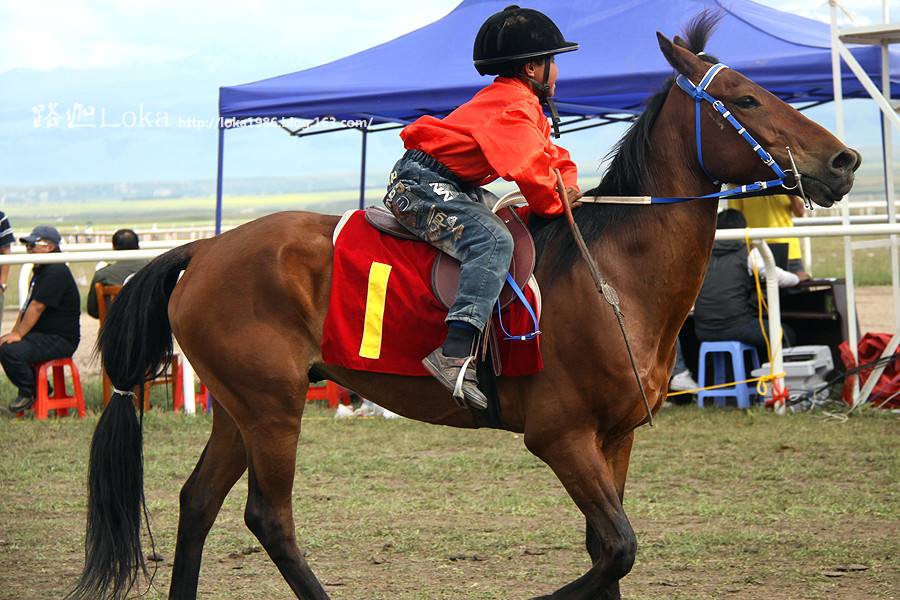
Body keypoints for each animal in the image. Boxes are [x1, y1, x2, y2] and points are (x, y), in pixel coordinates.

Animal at [68, 17, 856, 600]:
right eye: (748, 99)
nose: (845, 161)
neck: (615, 276)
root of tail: (203, 250)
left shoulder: (614, 438)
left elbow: (607, 551)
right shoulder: (560, 437)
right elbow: (616, 550)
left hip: (241, 407)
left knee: (198, 503)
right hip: (270, 407)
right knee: (270, 516)